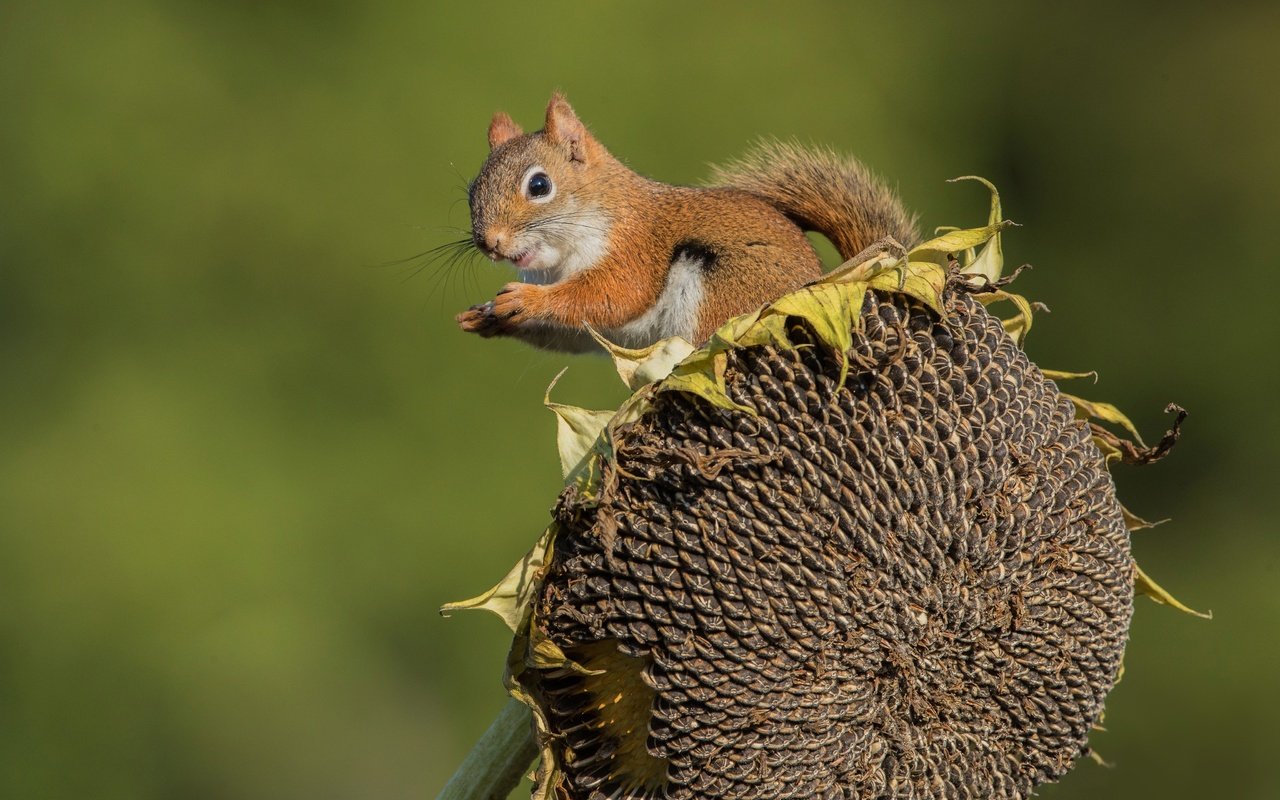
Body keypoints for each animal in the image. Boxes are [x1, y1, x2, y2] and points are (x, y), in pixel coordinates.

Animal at [455, 93, 916, 353]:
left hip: (725, 289)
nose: (490, 243)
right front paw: (485, 317)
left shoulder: (634, 248)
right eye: (472, 189)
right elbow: (579, 332)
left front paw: (526, 300)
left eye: (539, 185)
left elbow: (613, 295)